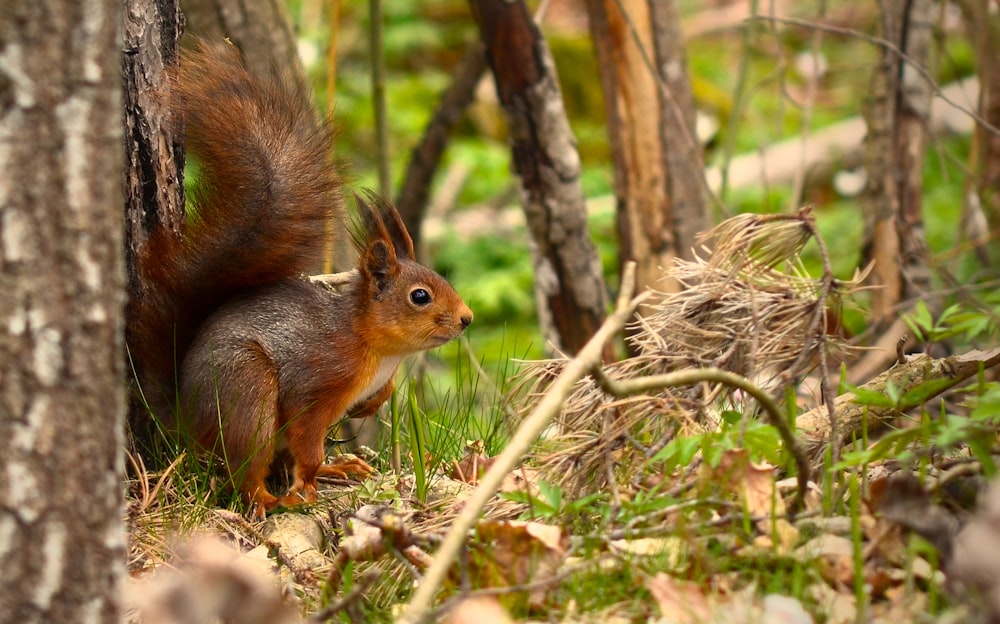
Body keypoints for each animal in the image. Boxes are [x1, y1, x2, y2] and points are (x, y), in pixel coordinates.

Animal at [129, 40, 472, 516]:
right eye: (420, 296)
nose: (466, 318)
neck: (378, 349)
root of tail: (183, 414)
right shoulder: (316, 382)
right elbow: (306, 435)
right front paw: (306, 483)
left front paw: (370, 407)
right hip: (247, 390)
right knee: (244, 470)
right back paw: (273, 497)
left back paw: (338, 468)